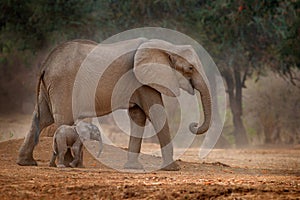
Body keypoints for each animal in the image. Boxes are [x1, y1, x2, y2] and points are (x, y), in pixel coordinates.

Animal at [17, 37, 212, 170]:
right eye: (190, 68)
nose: (193, 125)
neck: (167, 47)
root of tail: (46, 64)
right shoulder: (141, 79)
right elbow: (156, 113)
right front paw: (172, 169)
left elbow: (138, 116)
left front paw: (133, 168)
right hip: (63, 83)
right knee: (63, 118)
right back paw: (67, 165)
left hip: (50, 86)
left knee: (41, 118)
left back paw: (27, 163)